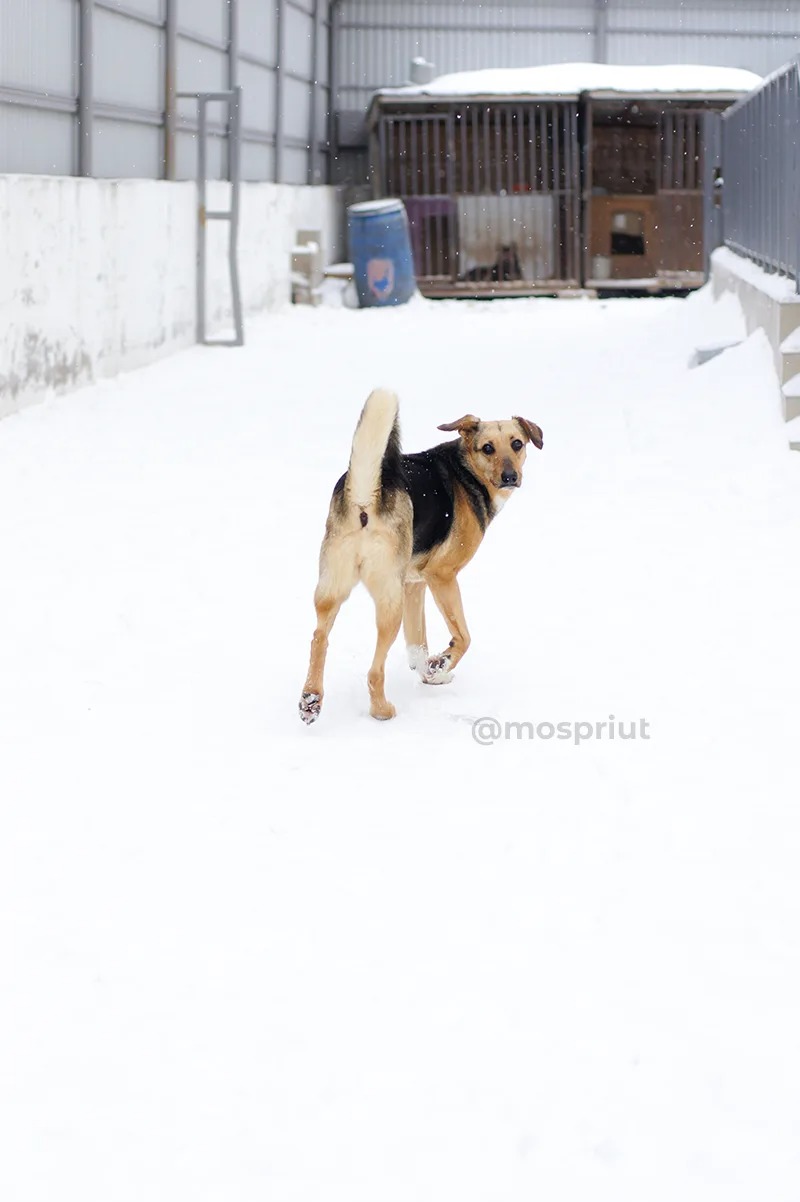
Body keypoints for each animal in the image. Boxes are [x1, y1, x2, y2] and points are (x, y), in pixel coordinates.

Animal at [299, 389, 542, 721]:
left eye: (517, 443)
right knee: (374, 670)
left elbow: (418, 644)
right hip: (390, 602)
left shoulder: (413, 584)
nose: (509, 476)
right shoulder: (441, 576)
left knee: (318, 638)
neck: (466, 469)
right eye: (488, 448)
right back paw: (381, 710)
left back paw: (311, 699)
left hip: (332, 588)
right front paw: (441, 665)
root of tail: (365, 497)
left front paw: (430, 673)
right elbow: (463, 637)